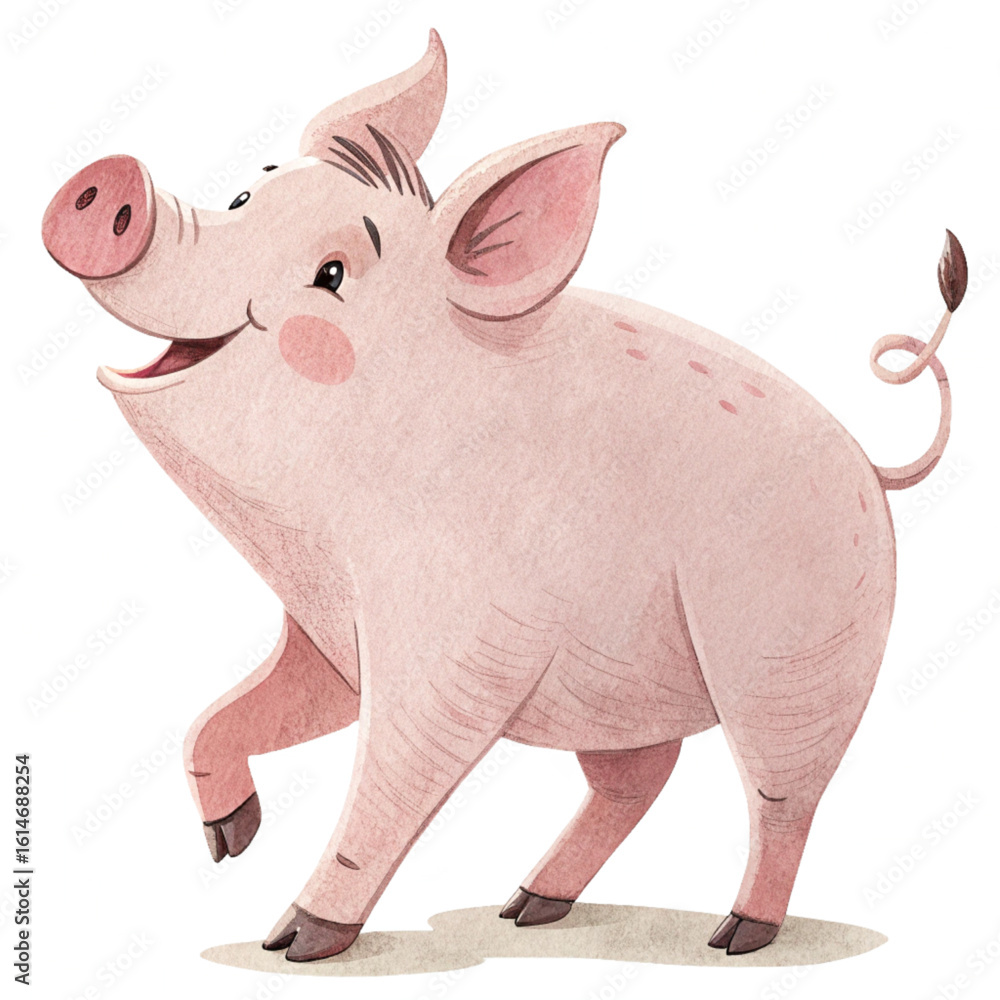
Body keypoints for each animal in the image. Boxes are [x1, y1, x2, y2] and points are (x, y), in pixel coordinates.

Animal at [41, 30, 967, 962]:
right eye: (245, 193)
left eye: (331, 274)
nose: (109, 184)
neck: (321, 539)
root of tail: (871, 464)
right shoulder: (330, 641)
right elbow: (223, 716)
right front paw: (230, 843)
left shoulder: (461, 641)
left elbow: (397, 777)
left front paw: (293, 943)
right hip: (622, 687)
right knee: (642, 776)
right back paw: (524, 907)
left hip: (793, 663)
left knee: (785, 799)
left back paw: (735, 938)